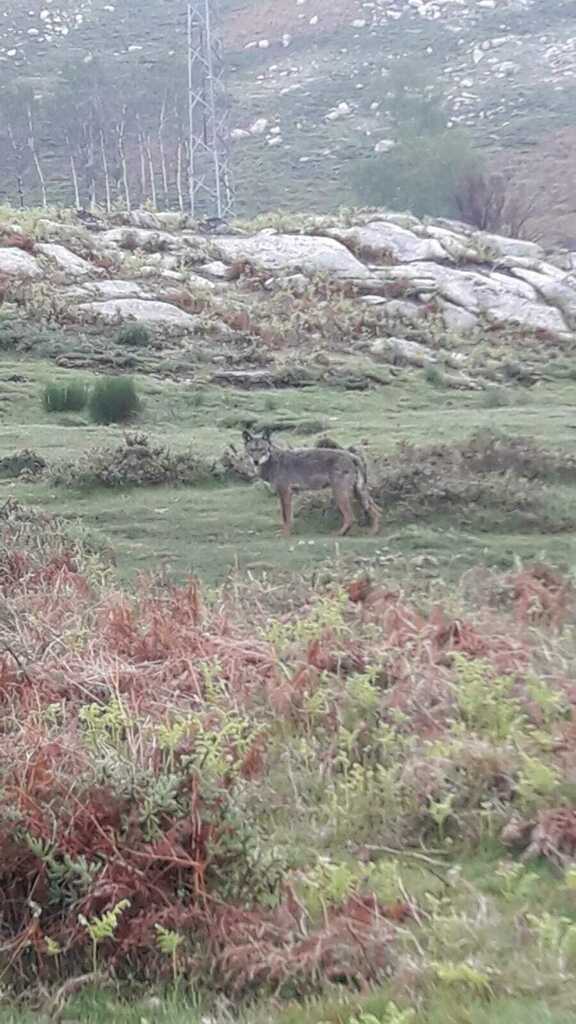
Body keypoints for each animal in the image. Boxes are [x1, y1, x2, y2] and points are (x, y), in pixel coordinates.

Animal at [242, 428, 381, 536]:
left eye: (262, 449)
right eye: (252, 450)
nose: (255, 462)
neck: (273, 462)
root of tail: (352, 456)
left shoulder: (285, 493)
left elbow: (285, 517)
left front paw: (285, 534)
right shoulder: (289, 494)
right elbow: (289, 517)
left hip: (340, 494)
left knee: (350, 517)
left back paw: (339, 534)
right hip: (358, 493)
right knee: (376, 511)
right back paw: (373, 532)